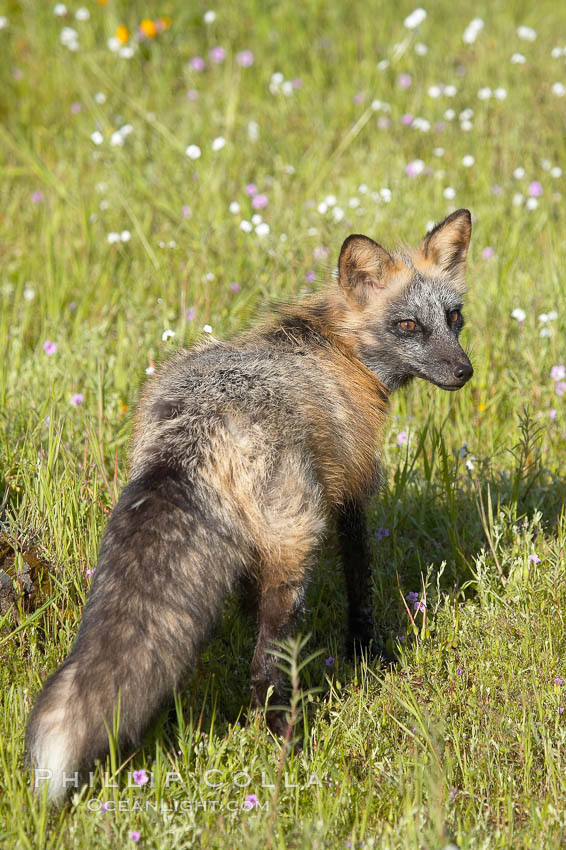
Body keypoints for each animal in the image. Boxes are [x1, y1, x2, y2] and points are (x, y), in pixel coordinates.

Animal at [25, 207, 474, 800]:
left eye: (454, 318)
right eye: (407, 326)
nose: (465, 371)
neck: (337, 348)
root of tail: (194, 432)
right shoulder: (352, 491)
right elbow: (362, 586)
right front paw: (369, 653)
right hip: (298, 547)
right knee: (263, 674)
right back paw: (292, 749)